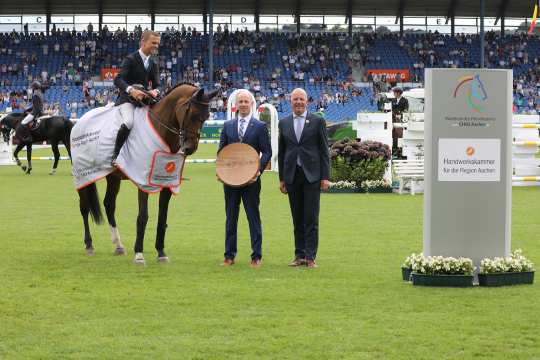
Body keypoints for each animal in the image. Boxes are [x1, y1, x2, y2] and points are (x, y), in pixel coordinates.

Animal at [78, 84, 217, 264]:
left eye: (206, 116)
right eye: (192, 113)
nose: (189, 148)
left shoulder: (167, 183)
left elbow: (162, 218)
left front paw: (161, 252)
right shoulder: (142, 181)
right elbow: (143, 216)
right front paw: (139, 254)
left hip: (113, 177)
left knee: (109, 204)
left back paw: (118, 245)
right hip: (82, 175)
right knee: (84, 207)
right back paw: (89, 245)